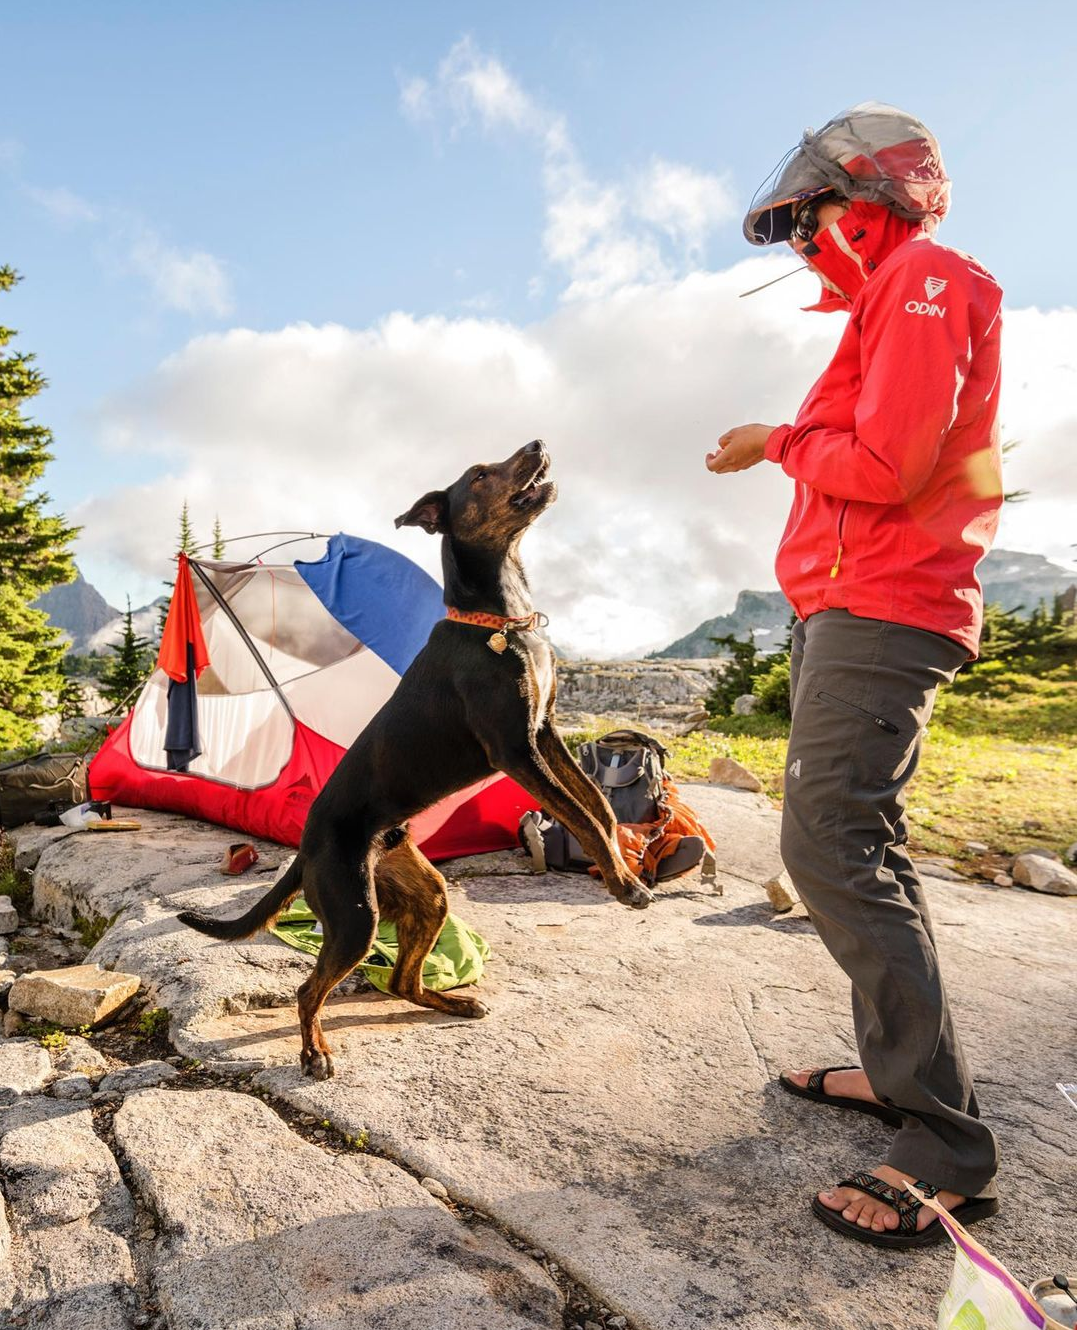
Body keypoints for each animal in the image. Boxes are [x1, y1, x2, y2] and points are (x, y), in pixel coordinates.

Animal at [178, 441, 652, 1078]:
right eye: (480, 474)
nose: (538, 445)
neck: (502, 623)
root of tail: (304, 849)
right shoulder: (515, 749)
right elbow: (580, 816)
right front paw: (623, 885)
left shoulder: (546, 730)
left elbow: (598, 804)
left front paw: (625, 870)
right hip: (355, 914)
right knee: (309, 990)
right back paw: (315, 1051)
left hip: (425, 894)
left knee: (402, 979)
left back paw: (451, 1002)